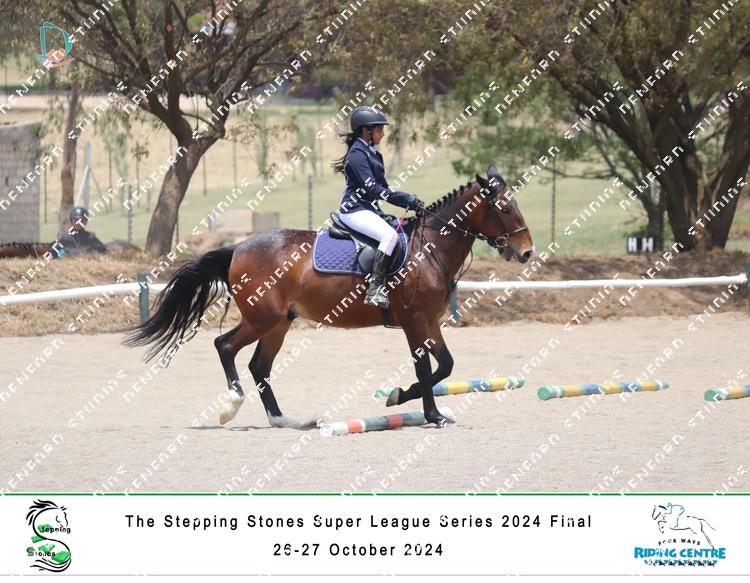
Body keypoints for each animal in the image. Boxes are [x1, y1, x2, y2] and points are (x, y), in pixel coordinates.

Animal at [124, 163, 534, 429]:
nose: (527, 252)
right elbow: (428, 368)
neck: (428, 248)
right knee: (225, 347)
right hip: (262, 318)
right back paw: (232, 407)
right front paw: (420, 409)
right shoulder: (414, 320)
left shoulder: (429, 321)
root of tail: (237, 248)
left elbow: (444, 365)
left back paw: (284, 420)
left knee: (259, 366)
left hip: (279, 323)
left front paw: (409, 401)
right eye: (504, 207)